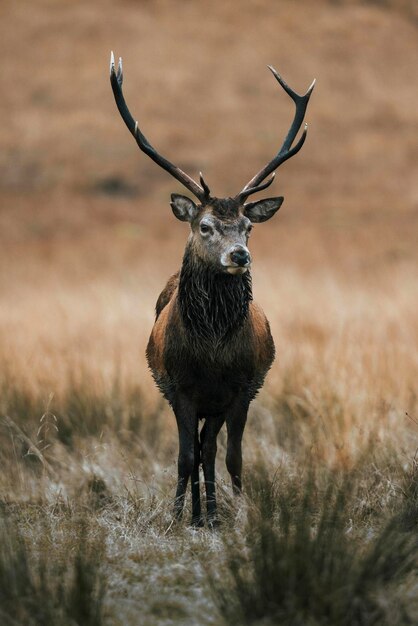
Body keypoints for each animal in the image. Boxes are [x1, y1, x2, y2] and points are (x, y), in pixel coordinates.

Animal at [108, 52, 314, 520]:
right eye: (204, 225)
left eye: (248, 227)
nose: (240, 256)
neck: (212, 353)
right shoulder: (180, 387)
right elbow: (185, 456)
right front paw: (176, 518)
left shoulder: (241, 388)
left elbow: (230, 456)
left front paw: (236, 515)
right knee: (197, 449)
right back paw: (198, 514)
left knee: (211, 448)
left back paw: (211, 515)